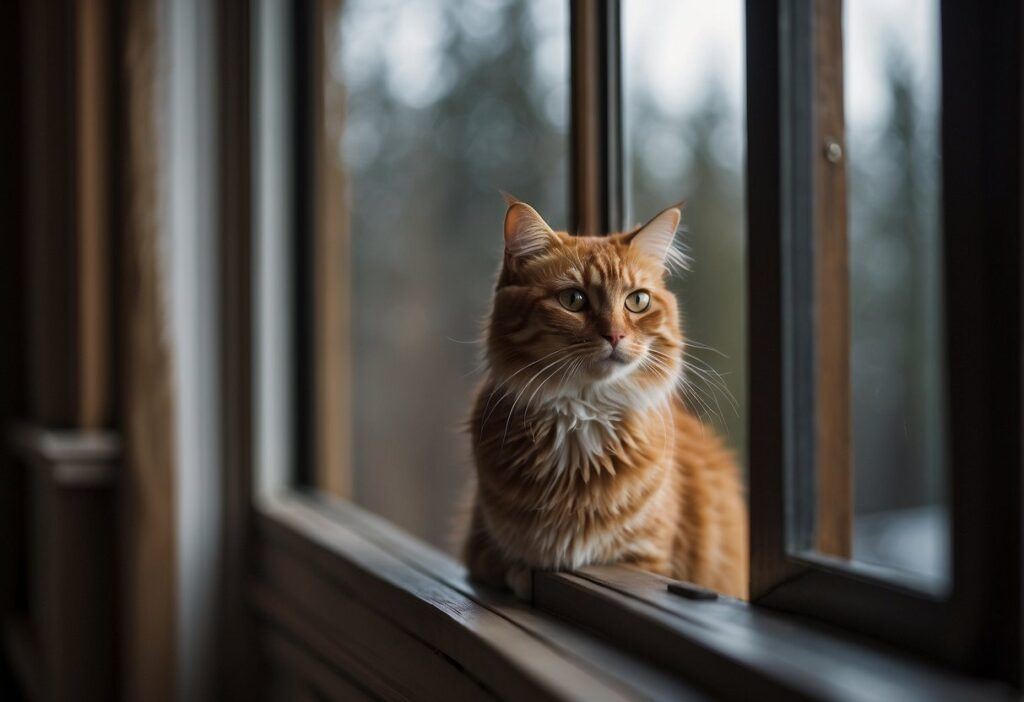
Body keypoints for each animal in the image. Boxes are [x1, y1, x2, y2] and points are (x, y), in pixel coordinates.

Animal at [462, 200, 745, 601]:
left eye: (637, 301)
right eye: (573, 300)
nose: (615, 335)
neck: (582, 419)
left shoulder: (647, 559)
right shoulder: (480, 548)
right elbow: (515, 569)